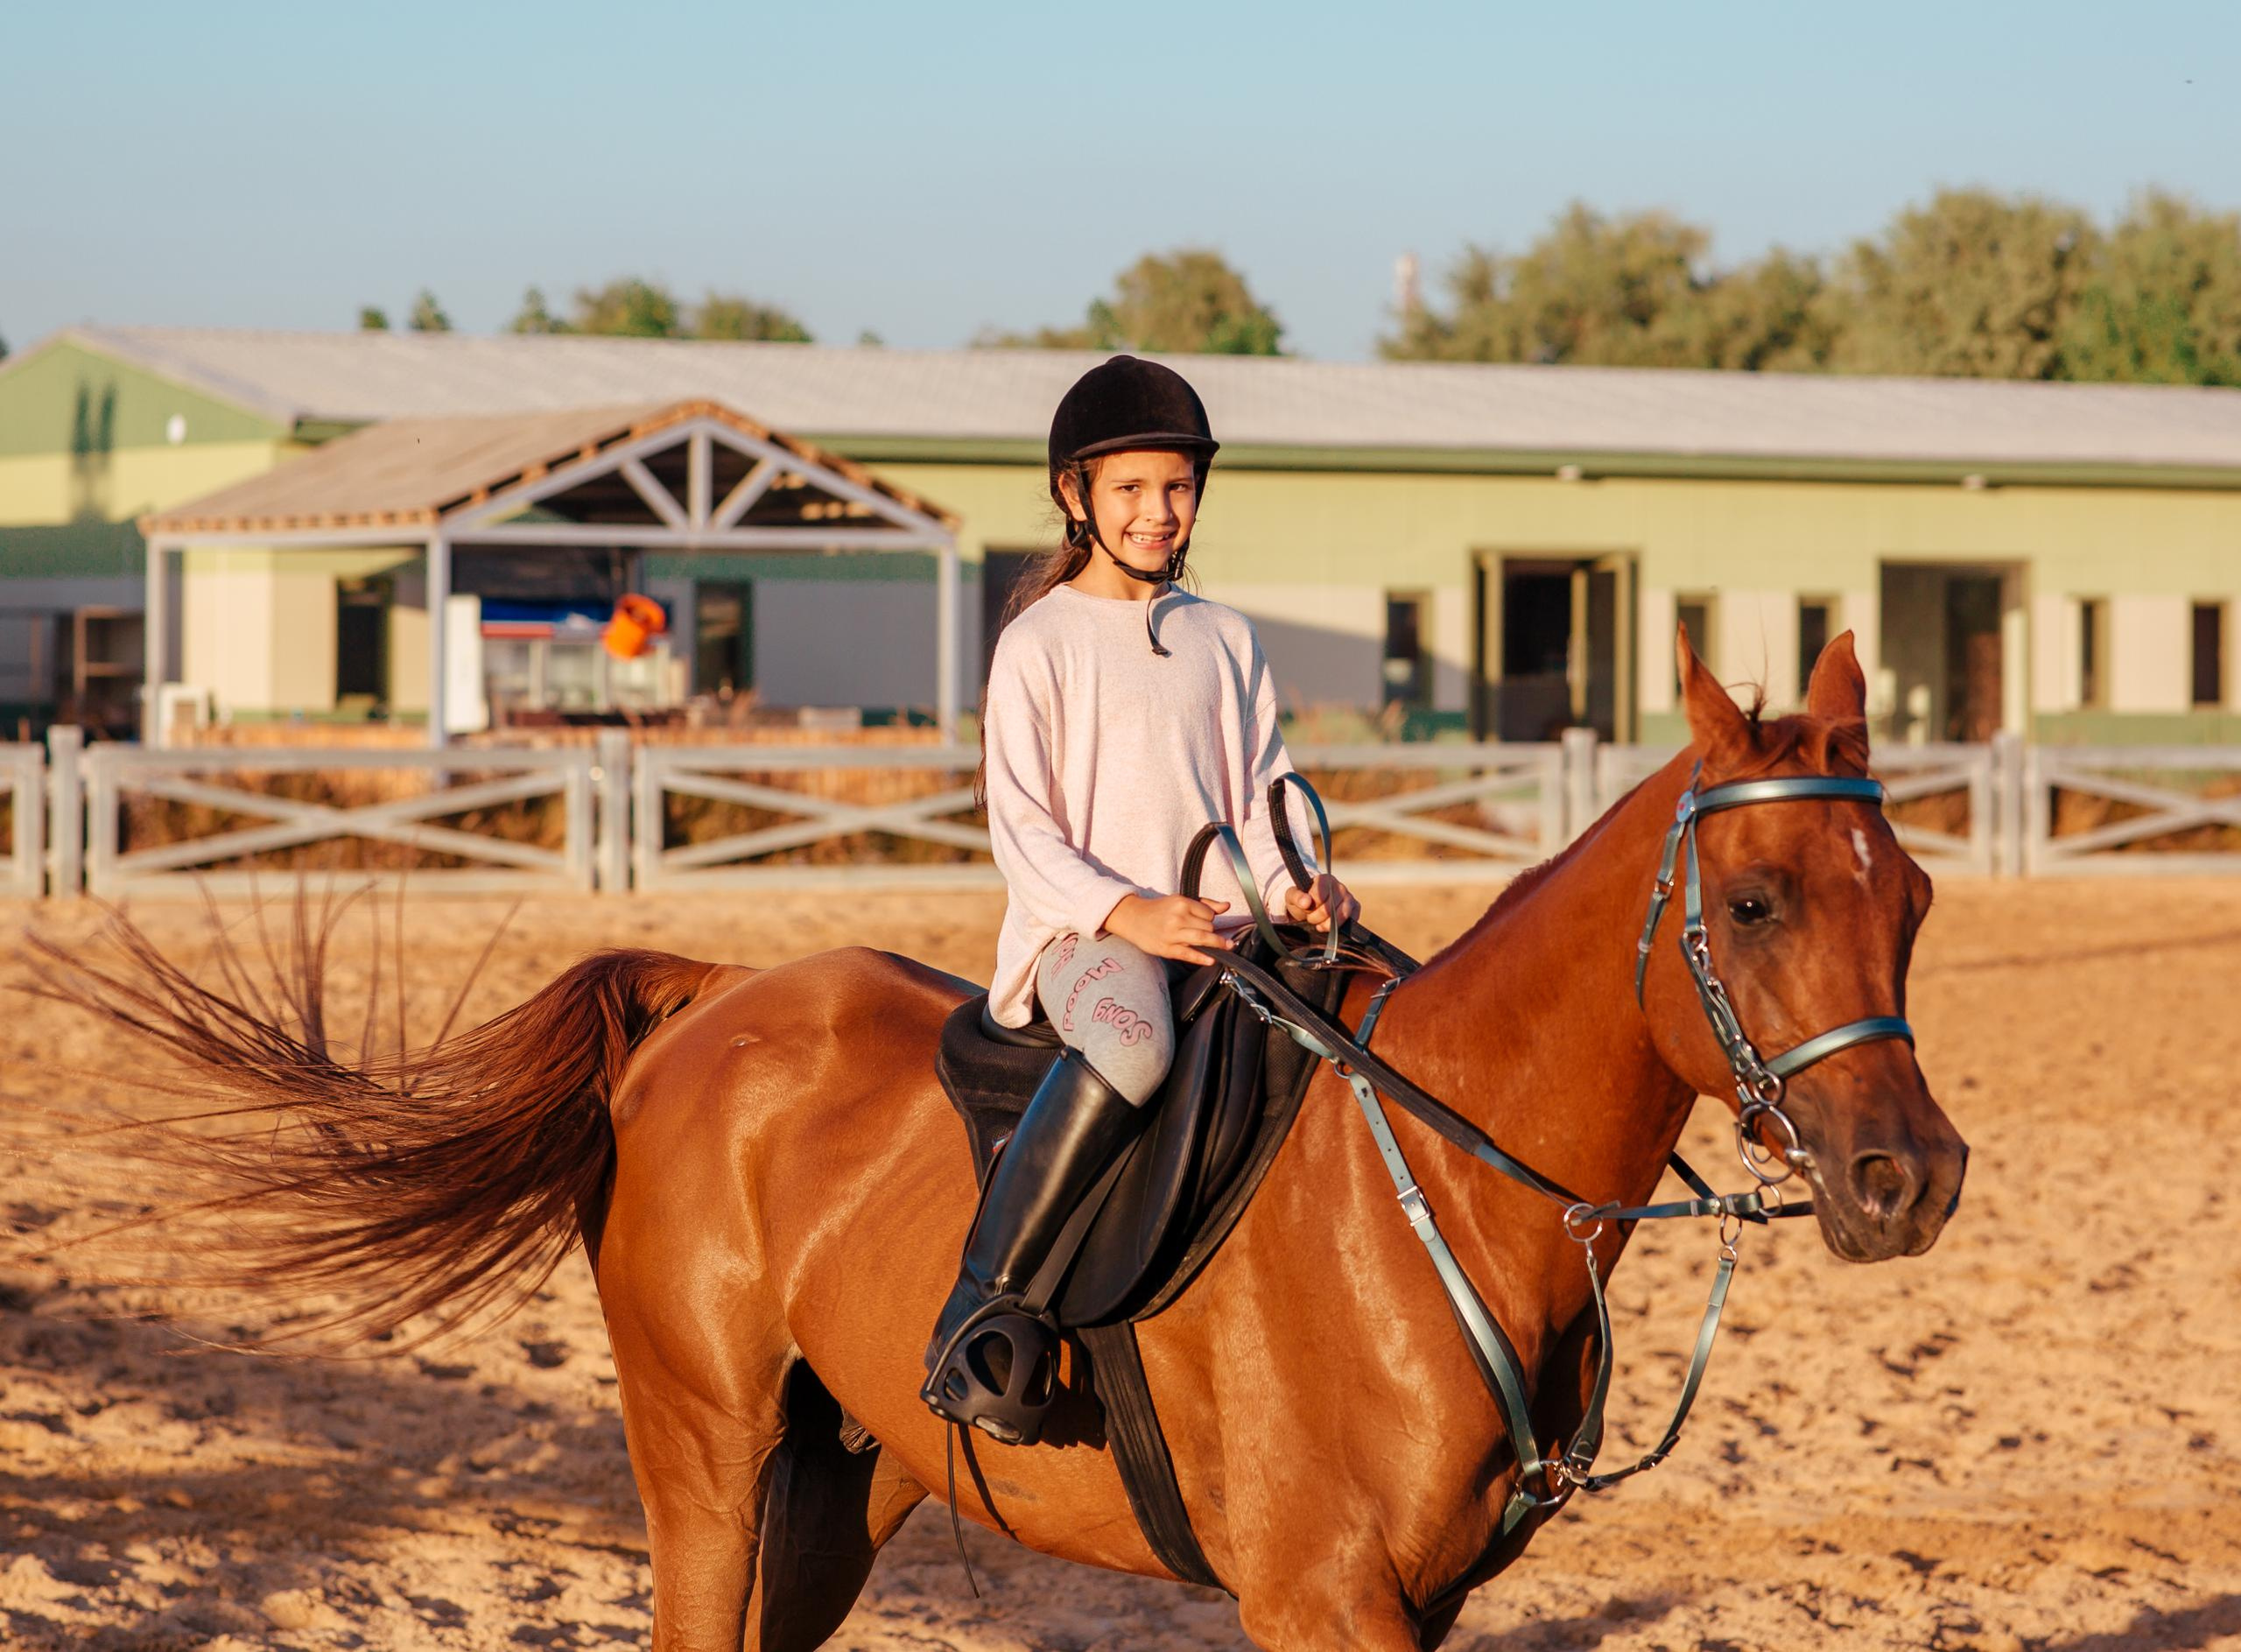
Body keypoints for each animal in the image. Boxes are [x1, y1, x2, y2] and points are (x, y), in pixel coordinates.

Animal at [46, 632, 1966, 1651]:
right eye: (1756, 896)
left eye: (1914, 900)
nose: (1909, 1179)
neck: (1439, 1195)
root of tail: (708, 1002)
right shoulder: (1320, 1596)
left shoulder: (1414, 1605)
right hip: (705, 1456)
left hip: (837, 1485)